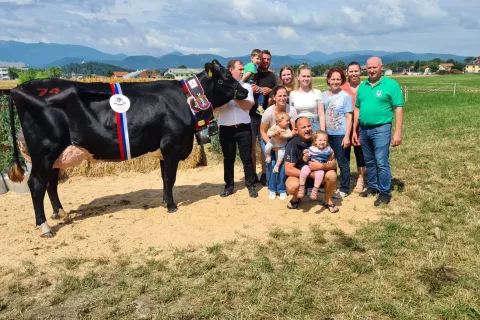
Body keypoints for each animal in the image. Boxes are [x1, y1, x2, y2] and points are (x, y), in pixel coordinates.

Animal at [7, 60, 248, 236]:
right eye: (225, 78)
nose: (245, 92)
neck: (187, 99)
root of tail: (19, 89)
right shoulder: (171, 144)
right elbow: (170, 177)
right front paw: (171, 206)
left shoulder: (164, 149)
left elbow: (164, 178)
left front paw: (164, 201)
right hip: (44, 151)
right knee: (36, 184)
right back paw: (45, 227)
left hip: (56, 155)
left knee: (51, 182)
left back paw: (60, 213)